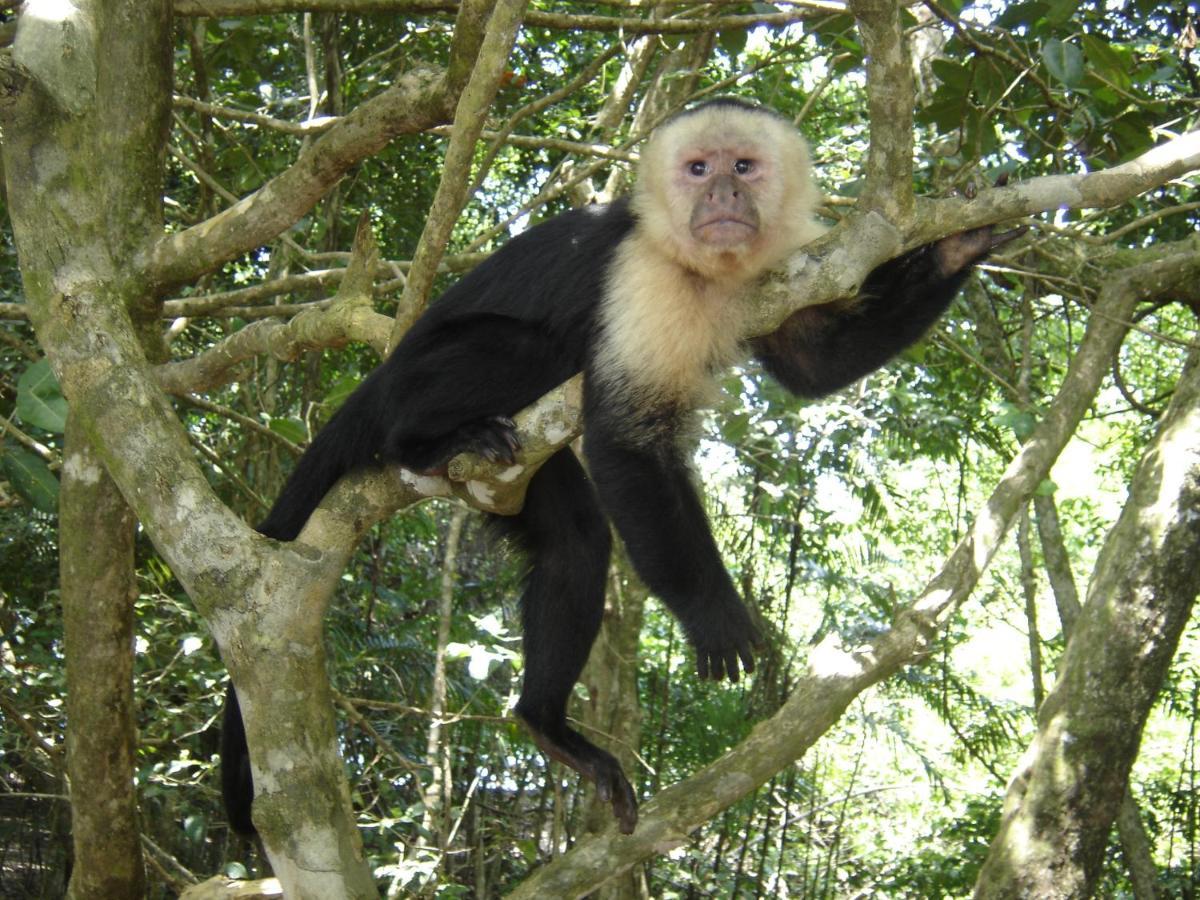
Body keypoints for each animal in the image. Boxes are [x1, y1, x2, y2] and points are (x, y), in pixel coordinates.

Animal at [223, 98, 1012, 840]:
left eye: (744, 167)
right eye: (698, 169)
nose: (723, 194)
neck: (701, 265)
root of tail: (378, 378)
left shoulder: (785, 270)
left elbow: (813, 364)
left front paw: (959, 247)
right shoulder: (644, 275)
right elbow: (624, 442)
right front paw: (714, 613)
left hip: (516, 477)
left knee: (576, 539)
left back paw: (546, 723)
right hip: (415, 381)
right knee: (527, 354)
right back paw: (423, 442)